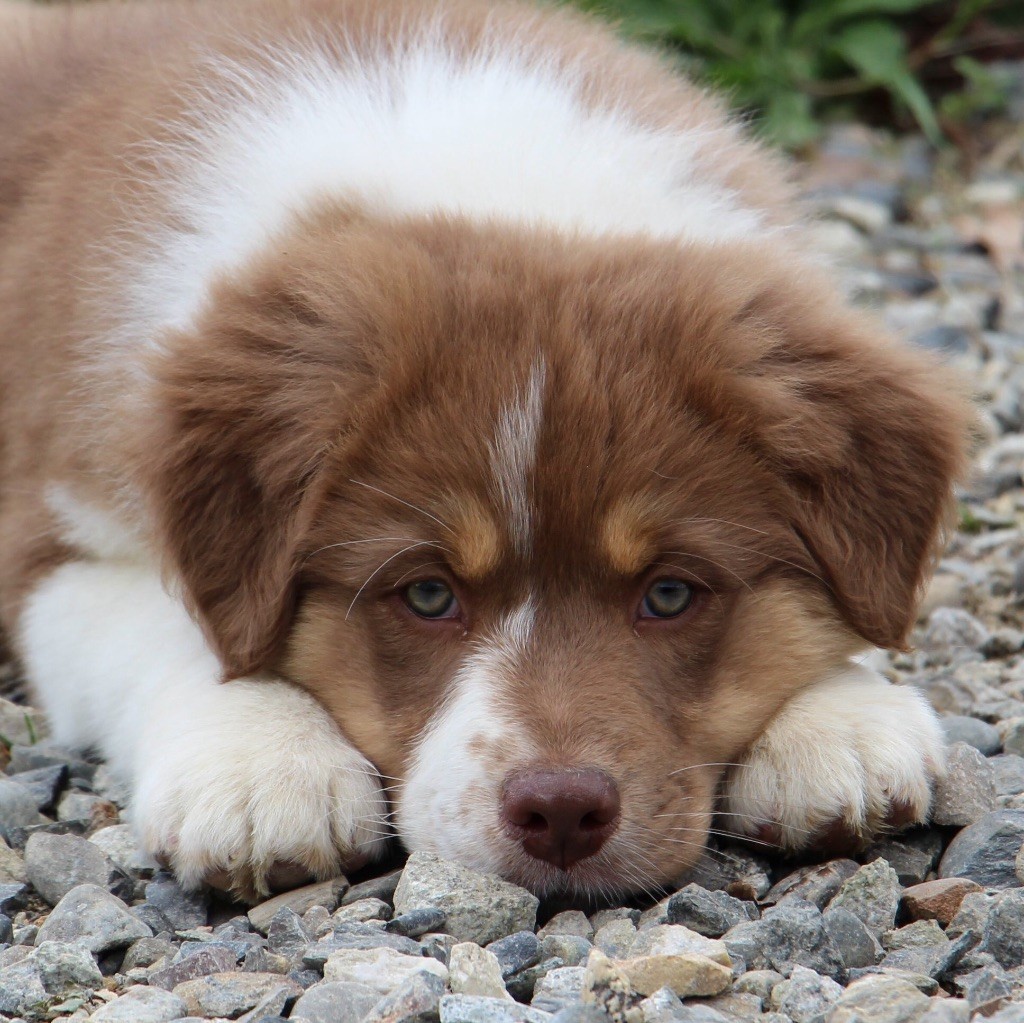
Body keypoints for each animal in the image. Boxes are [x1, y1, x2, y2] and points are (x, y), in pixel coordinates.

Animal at [0, 0, 966, 901]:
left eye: (669, 593)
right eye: (428, 593)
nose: (563, 812)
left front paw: (841, 719)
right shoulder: (56, 540)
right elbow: (168, 628)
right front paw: (260, 766)